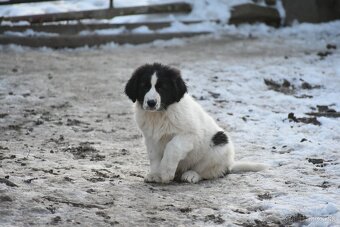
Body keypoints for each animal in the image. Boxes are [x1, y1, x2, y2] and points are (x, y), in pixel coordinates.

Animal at [125, 63, 266, 184]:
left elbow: (172, 146)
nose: (151, 103)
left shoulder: (190, 134)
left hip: (218, 146)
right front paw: (155, 174)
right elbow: (154, 156)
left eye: (162, 87)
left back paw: (192, 174)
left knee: (209, 171)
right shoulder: (151, 138)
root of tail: (230, 164)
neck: (159, 115)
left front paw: (165, 172)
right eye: (144, 86)